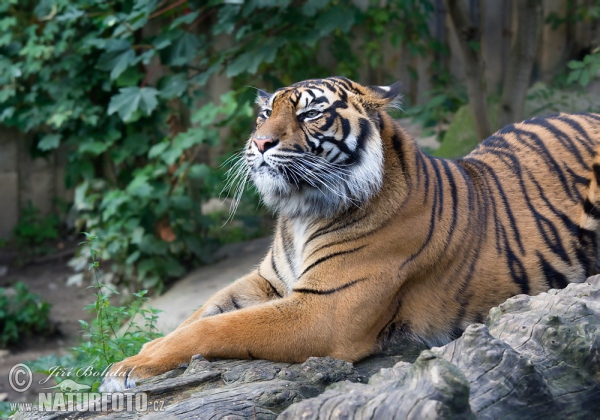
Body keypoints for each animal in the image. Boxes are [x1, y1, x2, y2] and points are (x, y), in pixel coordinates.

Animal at [101, 77, 600, 392]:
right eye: (265, 113)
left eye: (311, 113)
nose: (259, 144)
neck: (300, 212)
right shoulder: (267, 281)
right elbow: (201, 313)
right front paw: (137, 354)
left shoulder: (324, 309)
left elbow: (215, 327)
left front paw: (128, 365)